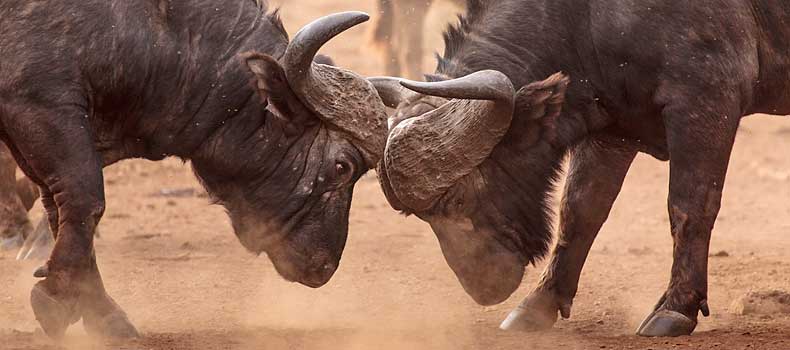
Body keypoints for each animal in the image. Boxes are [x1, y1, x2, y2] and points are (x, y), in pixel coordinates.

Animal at [0, 0, 390, 340]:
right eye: (342, 166)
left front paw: (103, 314)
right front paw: (57, 298)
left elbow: (61, 211)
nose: (325, 267)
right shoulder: (42, 106)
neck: (154, 28)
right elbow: (86, 200)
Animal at [372, 0, 790, 338]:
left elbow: (689, 207)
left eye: (457, 199)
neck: (584, 16)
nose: (483, 287)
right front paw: (539, 304)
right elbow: (579, 212)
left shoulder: (706, 99)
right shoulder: (612, 126)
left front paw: (675, 309)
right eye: (420, 215)